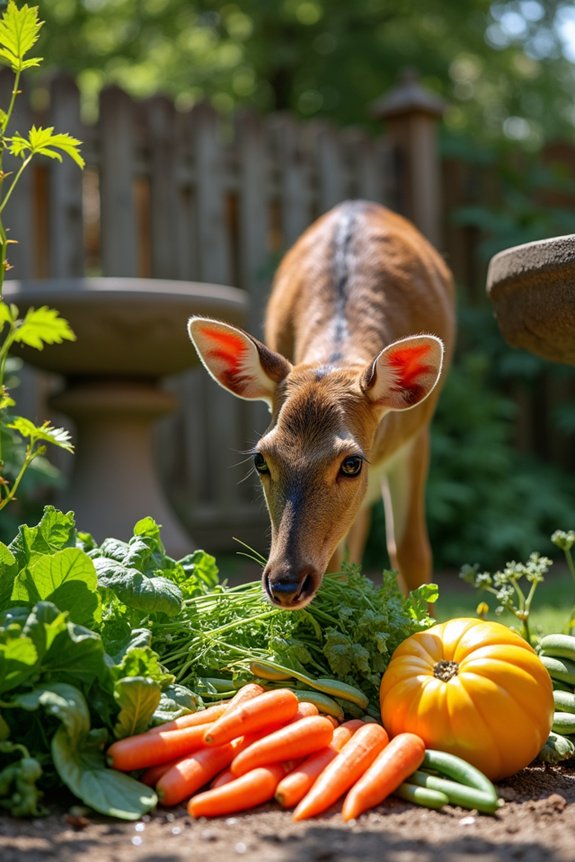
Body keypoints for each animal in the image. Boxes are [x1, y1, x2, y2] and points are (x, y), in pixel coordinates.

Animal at [188, 200, 456, 609]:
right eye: (260, 459)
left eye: (351, 463)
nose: (285, 584)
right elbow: (336, 563)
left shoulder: (416, 436)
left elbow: (412, 552)